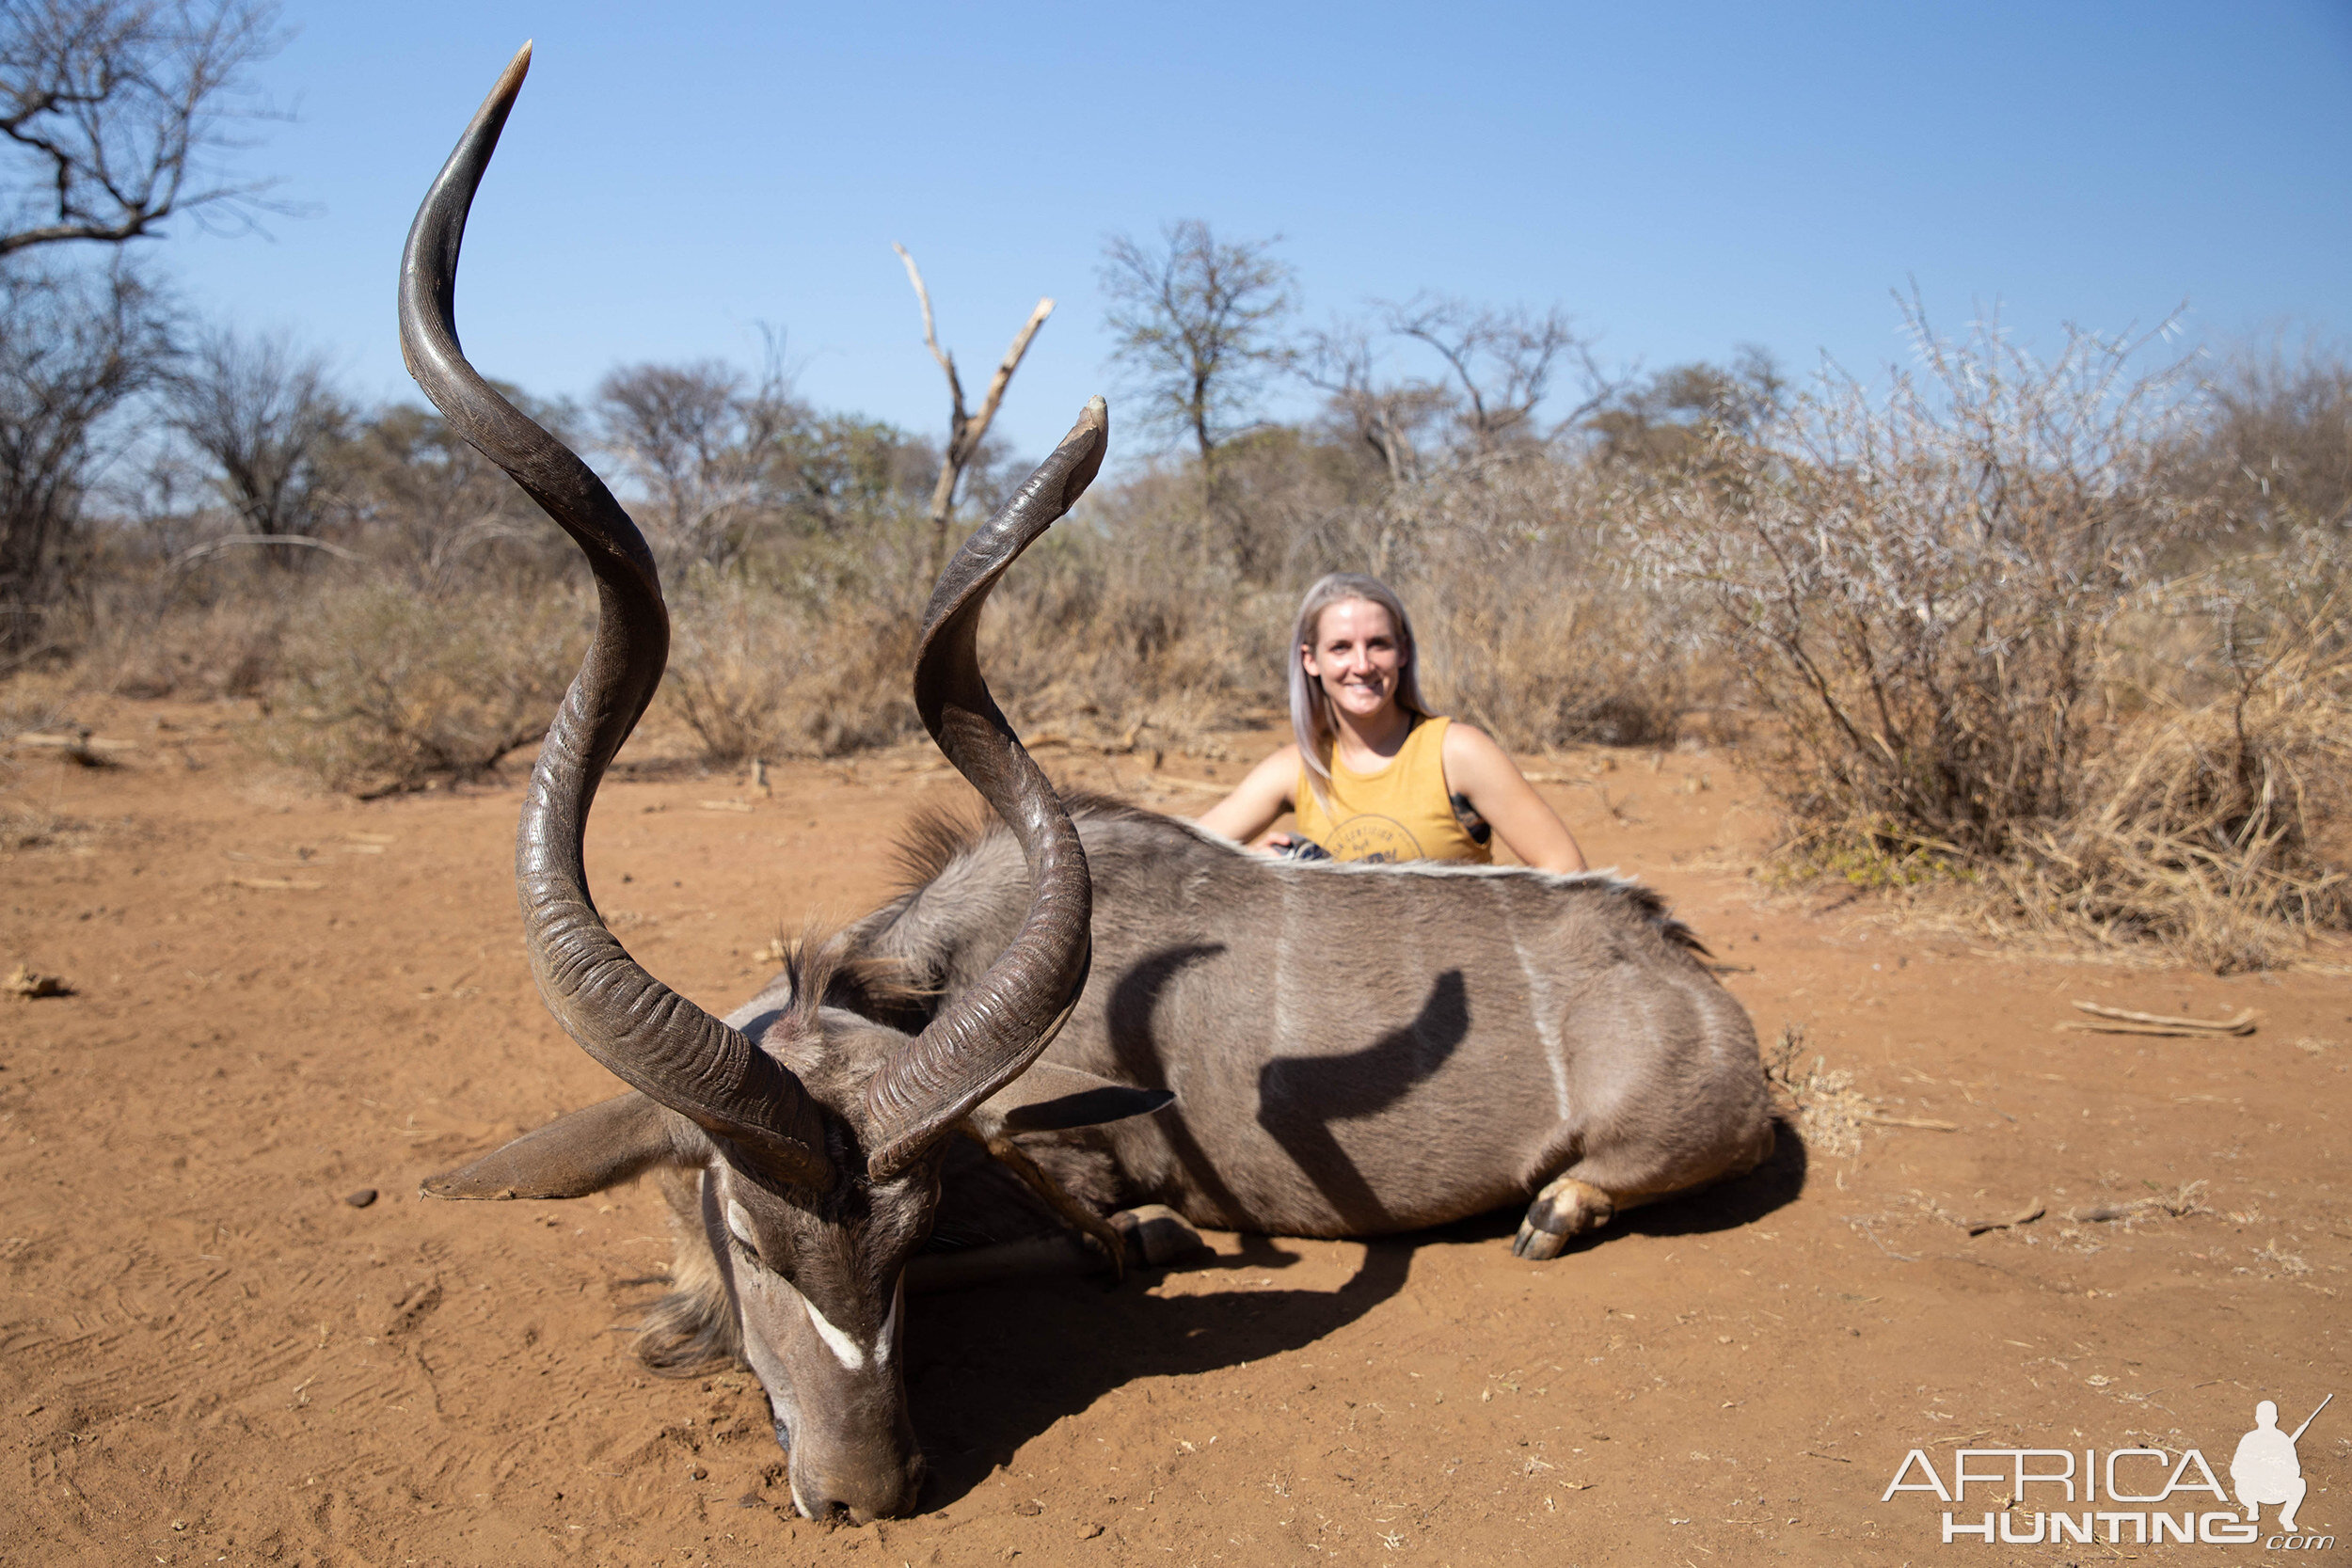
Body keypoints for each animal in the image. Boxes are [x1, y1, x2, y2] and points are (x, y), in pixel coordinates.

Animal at [400, 52, 1769, 1532]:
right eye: (756, 1235)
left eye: (905, 1237)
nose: (866, 1489)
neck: (927, 964)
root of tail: (1686, 966)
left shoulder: (1074, 1161)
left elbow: (1121, 1231)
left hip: (1668, 1138)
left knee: (1594, 1186)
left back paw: (1550, 1209)